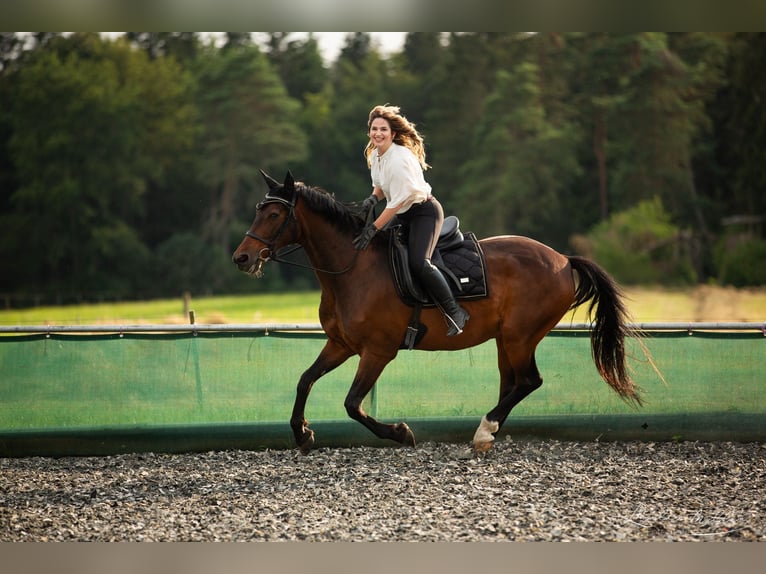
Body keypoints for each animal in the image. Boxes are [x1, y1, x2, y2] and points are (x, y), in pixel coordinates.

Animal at [232, 170, 643, 454]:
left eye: (273, 214)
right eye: (258, 211)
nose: (242, 258)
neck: (351, 268)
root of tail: (562, 259)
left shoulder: (377, 352)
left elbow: (352, 404)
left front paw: (401, 433)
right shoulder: (340, 344)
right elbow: (305, 380)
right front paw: (302, 434)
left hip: (520, 336)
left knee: (529, 381)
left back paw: (484, 428)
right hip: (506, 340)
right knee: (512, 383)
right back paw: (487, 434)